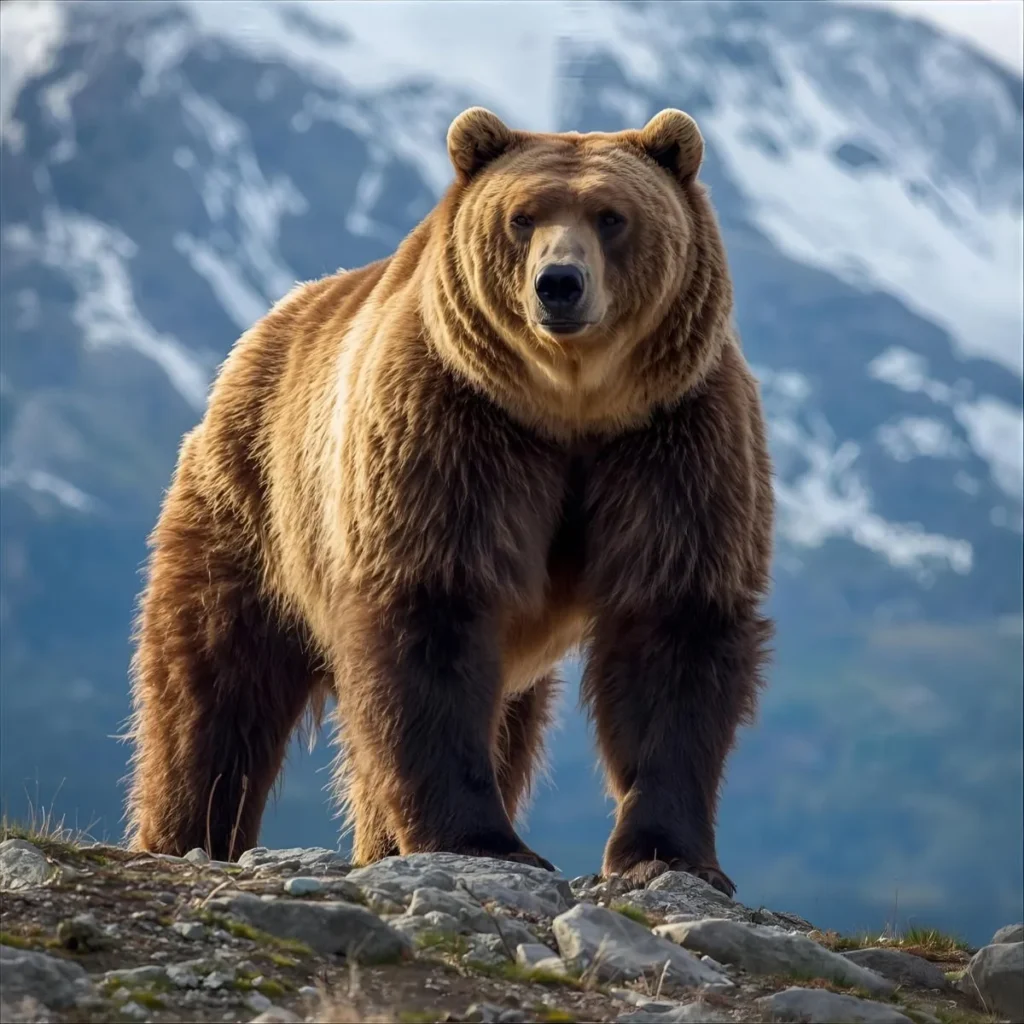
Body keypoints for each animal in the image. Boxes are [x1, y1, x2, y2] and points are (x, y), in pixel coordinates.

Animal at [123, 106, 774, 895]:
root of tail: (267, 326)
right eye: (522, 217)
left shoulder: (671, 442)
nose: (559, 283)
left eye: (612, 216)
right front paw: (482, 841)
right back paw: (189, 832)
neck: (572, 408)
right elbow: (432, 614)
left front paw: (667, 853)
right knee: (213, 679)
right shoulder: (456, 430)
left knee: (506, 720)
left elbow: (673, 627)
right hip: (255, 496)